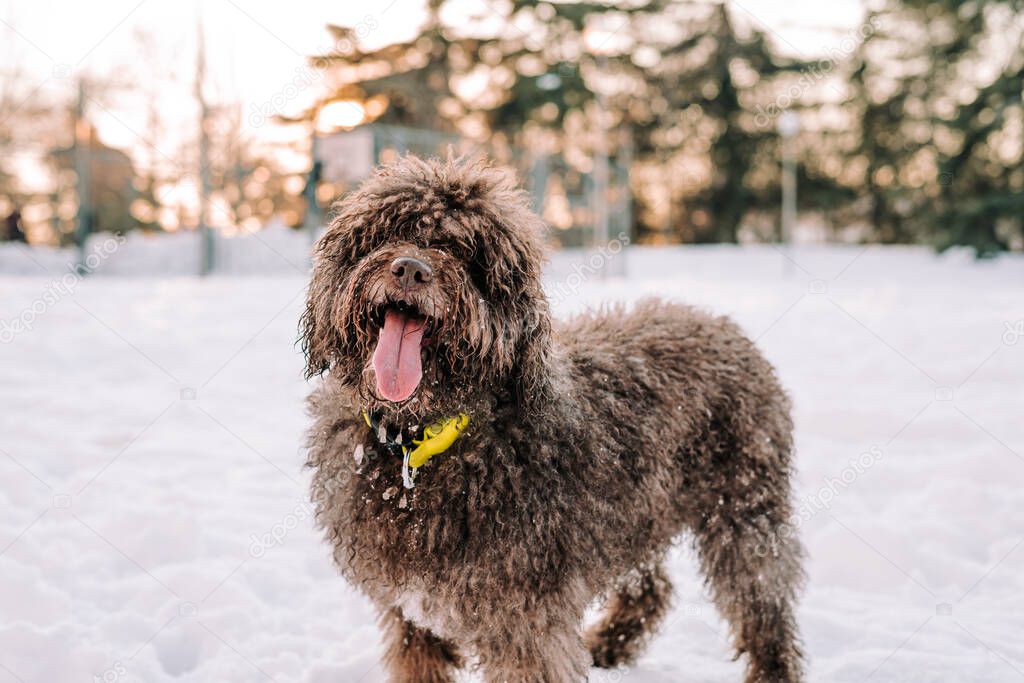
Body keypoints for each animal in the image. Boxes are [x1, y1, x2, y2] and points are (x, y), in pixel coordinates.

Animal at [299, 156, 802, 683]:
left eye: (466, 252)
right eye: (389, 231)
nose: (411, 269)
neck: (425, 441)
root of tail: (724, 327)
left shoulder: (526, 623)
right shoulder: (410, 614)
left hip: (744, 510)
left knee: (762, 603)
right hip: (636, 513)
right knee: (652, 585)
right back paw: (609, 644)